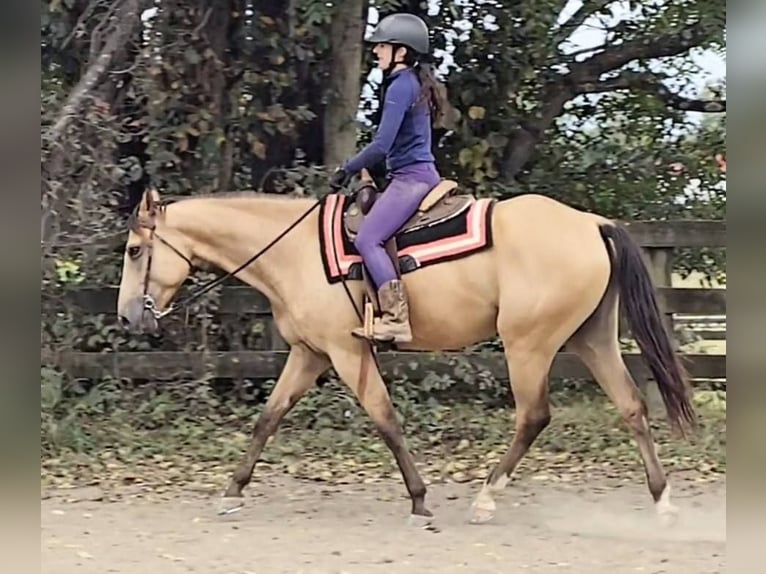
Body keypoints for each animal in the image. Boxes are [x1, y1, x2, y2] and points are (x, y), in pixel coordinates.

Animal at [115, 181, 695, 527]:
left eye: (135, 250)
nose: (127, 318)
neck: (295, 250)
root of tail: (591, 223)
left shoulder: (346, 353)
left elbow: (385, 419)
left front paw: (418, 497)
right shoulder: (308, 353)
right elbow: (268, 418)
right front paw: (232, 490)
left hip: (527, 345)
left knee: (534, 416)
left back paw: (486, 497)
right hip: (590, 339)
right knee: (632, 407)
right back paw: (662, 500)